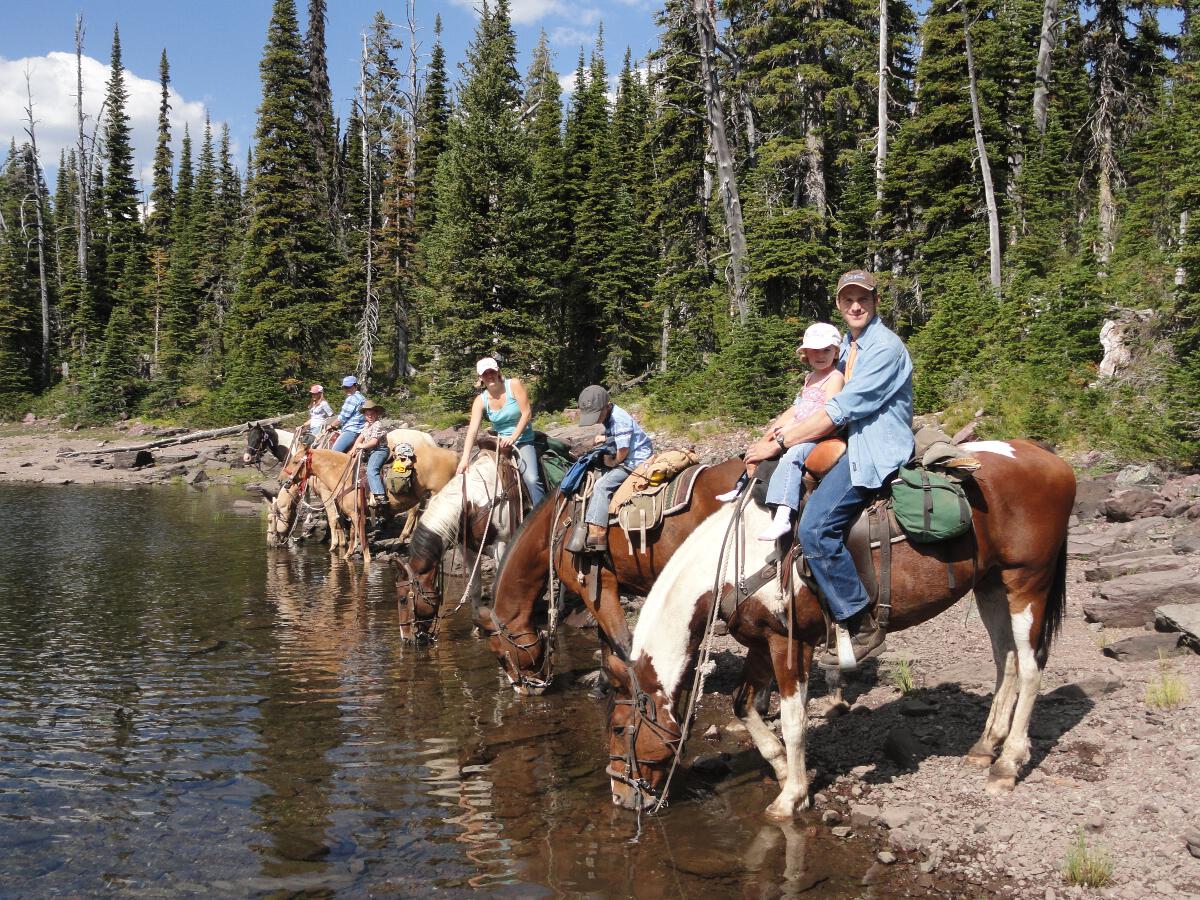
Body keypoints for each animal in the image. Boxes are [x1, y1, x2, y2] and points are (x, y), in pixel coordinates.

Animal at [396, 451, 523, 643]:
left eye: (403, 599)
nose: (405, 638)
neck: (474, 504)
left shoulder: (501, 546)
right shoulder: (469, 550)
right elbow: (475, 588)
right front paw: (477, 629)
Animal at [475, 458, 739, 696]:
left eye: (499, 655)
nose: (523, 688)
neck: (558, 526)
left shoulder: (596, 589)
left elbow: (622, 643)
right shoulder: (603, 589)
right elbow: (605, 641)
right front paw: (601, 685)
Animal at [604, 441, 1075, 820]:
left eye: (618, 728)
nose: (620, 798)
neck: (733, 562)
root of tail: (1049, 459)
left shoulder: (790, 644)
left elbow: (794, 719)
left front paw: (791, 796)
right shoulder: (762, 641)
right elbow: (743, 705)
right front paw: (782, 769)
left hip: (1027, 581)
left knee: (1030, 667)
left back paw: (1007, 763)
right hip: (991, 584)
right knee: (1005, 660)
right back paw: (984, 746)